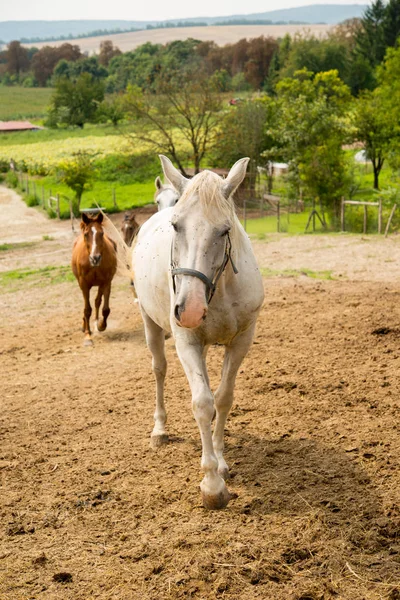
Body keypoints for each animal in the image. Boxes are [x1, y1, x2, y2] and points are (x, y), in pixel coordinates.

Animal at [72, 212, 117, 344]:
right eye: (86, 234)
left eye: (101, 233)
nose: (95, 258)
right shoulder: (84, 284)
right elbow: (87, 309)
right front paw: (87, 335)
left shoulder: (106, 282)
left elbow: (105, 308)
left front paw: (101, 325)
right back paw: (85, 326)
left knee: (98, 301)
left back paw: (96, 322)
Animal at [134, 157, 266, 508]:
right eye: (176, 226)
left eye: (225, 229)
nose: (190, 310)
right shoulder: (187, 341)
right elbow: (202, 403)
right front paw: (212, 485)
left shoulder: (241, 341)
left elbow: (222, 398)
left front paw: (220, 461)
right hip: (151, 325)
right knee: (159, 369)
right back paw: (159, 430)